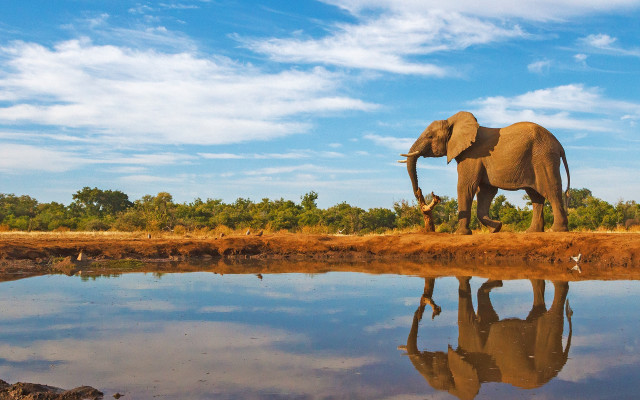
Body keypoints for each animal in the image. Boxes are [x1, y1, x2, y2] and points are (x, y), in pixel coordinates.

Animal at [398, 277, 572, 400]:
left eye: (433, 371)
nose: (435, 309)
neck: (455, 389)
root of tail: (562, 361)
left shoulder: (471, 346)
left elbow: (467, 317)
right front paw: (497, 283)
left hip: (546, 348)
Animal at [399, 111, 570, 234]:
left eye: (430, 136)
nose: (420, 192)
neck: (452, 121)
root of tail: (559, 145)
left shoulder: (472, 156)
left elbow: (466, 187)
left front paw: (461, 234)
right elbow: (485, 192)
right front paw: (496, 228)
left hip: (543, 158)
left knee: (551, 190)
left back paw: (556, 230)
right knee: (535, 196)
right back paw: (532, 232)